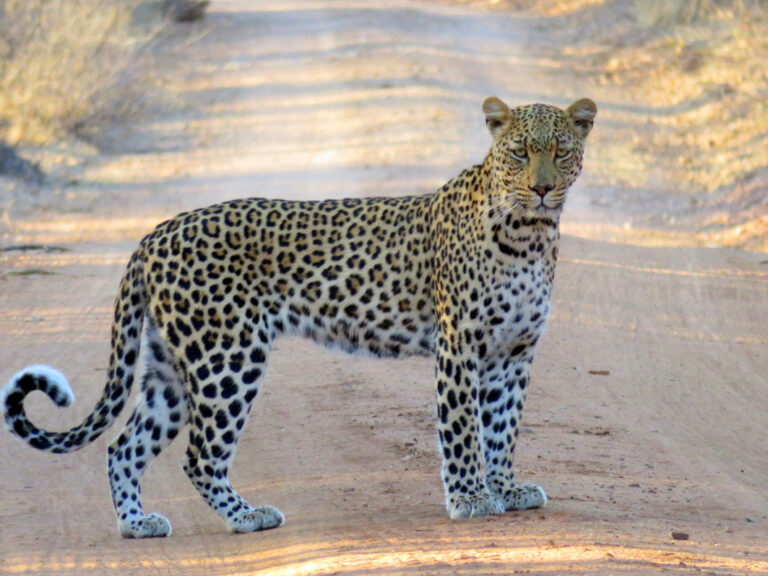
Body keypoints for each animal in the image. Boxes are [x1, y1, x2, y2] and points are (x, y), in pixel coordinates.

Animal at [3, 97, 596, 536]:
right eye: (519, 153)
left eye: (562, 151)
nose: (542, 189)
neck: (530, 235)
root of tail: (156, 232)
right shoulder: (460, 346)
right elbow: (463, 430)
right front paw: (471, 497)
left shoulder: (514, 352)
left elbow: (503, 425)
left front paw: (507, 488)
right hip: (228, 356)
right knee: (199, 454)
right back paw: (248, 517)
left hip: (171, 365)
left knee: (125, 446)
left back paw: (137, 523)